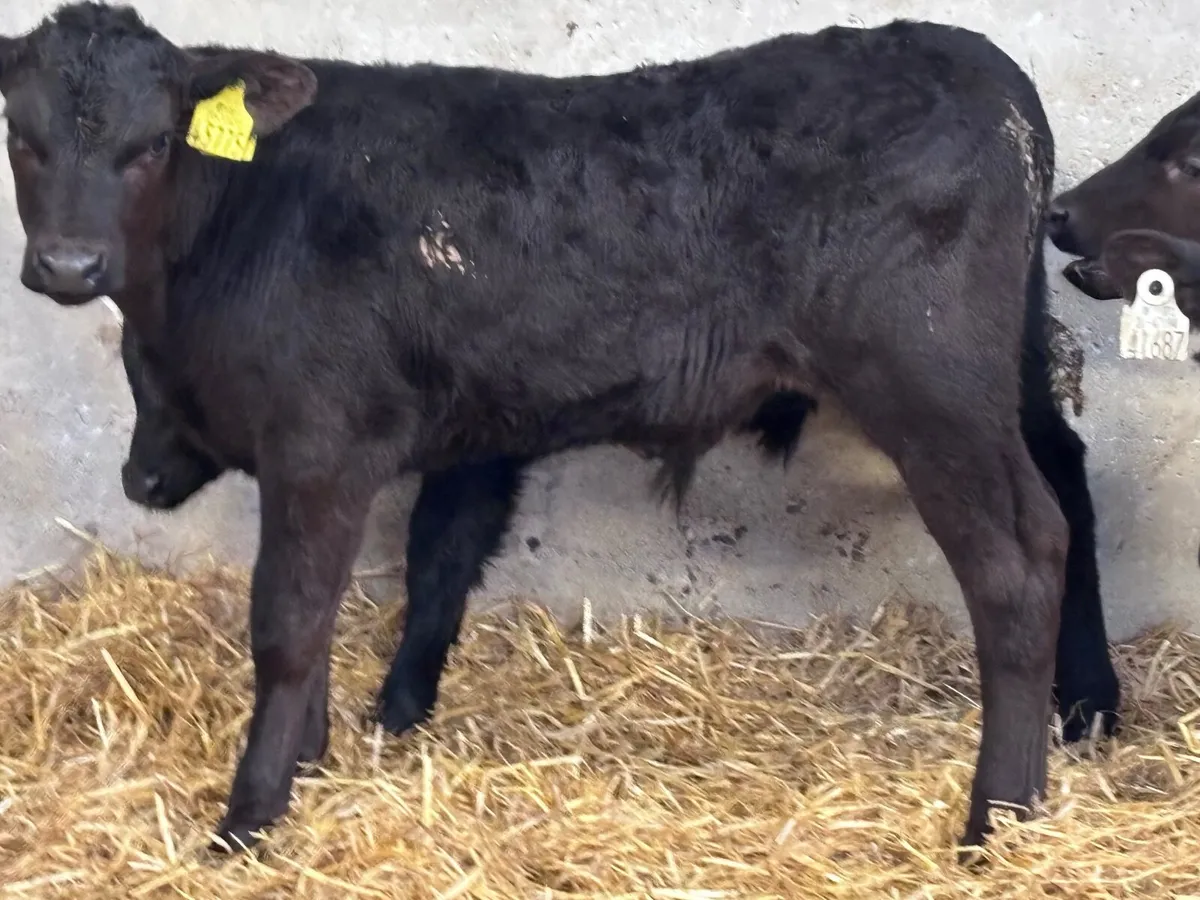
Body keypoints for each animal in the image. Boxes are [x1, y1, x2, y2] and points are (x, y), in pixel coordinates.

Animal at [0, 1, 1120, 855]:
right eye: (22, 137)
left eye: (151, 145)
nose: (68, 265)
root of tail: (973, 61)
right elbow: (385, 584)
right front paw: (322, 758)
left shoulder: (319, 446)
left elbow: (288, 621)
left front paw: (251, 816)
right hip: (1004, 373)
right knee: (1065, 485)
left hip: (930, 387)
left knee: (1020, 557)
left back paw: (998, 819)